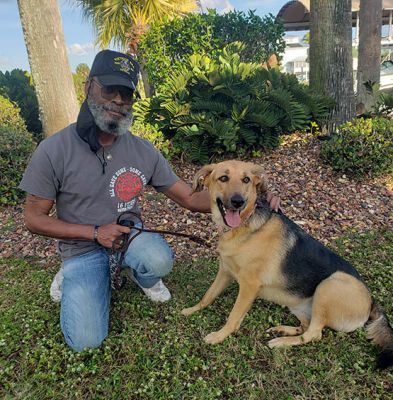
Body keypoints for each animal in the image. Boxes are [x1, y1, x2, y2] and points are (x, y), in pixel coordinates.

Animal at [181, 159, 392, 368]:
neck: (243, 226)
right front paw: (191, 310)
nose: (238, 201)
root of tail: (372, 302)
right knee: (305, 327)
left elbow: (233, 316)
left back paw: (280, 342)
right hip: (297, 303)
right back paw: (282, 330)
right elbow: (207, 296)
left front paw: (219, 336)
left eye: (246, 180)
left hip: (329, 284)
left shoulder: (249, 286)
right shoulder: (225, 271)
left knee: (314, 334)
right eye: (223, 178)